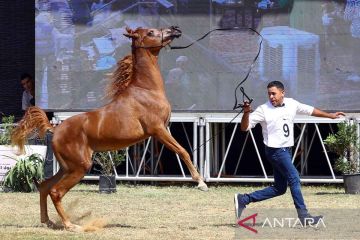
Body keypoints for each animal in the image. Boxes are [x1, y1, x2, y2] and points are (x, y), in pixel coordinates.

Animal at [11, 25, 207, 231]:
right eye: (151, 33)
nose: (174, 29)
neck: (146, 90)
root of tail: (55, 129)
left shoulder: (162, 130)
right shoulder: (158, 130)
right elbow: (183, 151)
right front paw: (201, 182)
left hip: (67, 167)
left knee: (44, 186)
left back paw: (48, 221)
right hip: (79, 167)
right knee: (55, 191)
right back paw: (71, 225)